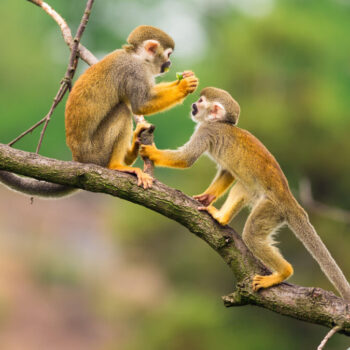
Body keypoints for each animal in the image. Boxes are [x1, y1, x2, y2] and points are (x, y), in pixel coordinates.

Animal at [0, 26, 197, 197]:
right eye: (168, 54)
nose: (169, 62)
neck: (137, 57)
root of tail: (79, 159)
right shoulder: (134, 71)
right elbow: (141, 104)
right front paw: (183, 86)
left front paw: (186, 78)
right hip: (97, 152)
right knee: (123, 111)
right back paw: (118, 165)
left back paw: (132, 150)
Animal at [140, 87, 350, 300]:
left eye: (200, 101)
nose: (193, 106)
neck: (220, 123)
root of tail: (291, 201)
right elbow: (227, 171)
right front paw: (207, 197)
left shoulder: (206, 131)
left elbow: (186, 158)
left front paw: (150, 152)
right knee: (243, 186)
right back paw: (222, 218)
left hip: (272, 208)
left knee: (252, 234)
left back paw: (283, 272)